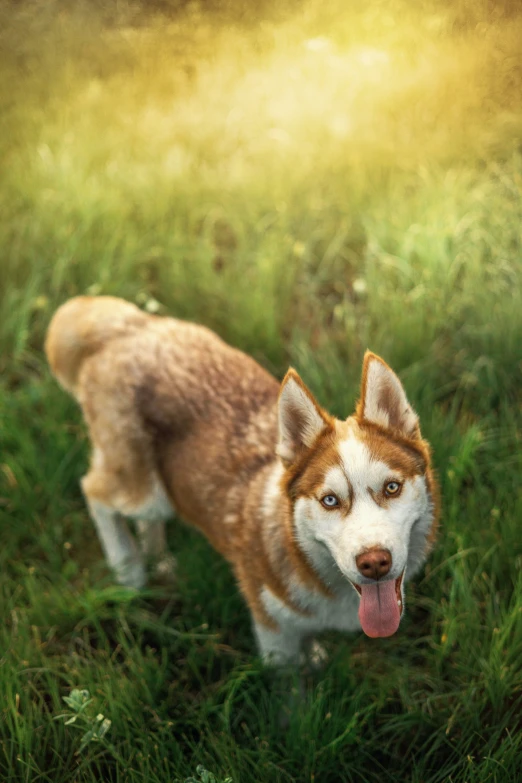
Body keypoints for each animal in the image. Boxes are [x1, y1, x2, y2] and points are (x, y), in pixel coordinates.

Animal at [44, 298, 436, 664]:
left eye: (391, 487)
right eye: (330, 500)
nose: (374, 562)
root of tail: (130, 325)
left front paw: (315, 656)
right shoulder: (272, 630)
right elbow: (290, 686)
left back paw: (158, 559)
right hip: (144, 491)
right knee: (94, 492)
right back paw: (129, 569)